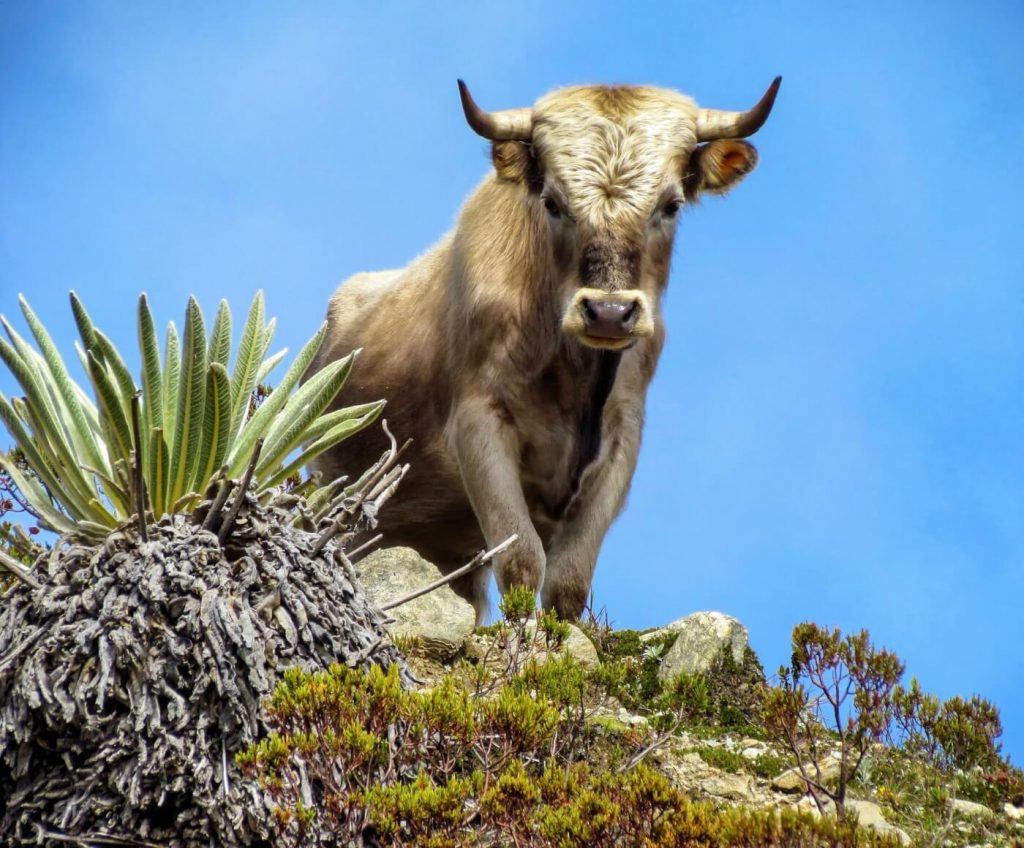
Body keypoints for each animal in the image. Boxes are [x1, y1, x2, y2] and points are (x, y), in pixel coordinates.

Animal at [307, 79, 778, 622]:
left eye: (672, 204)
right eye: (552, 202)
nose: (609, 312)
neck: (573, 378)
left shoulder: (623, 439)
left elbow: (569, 582)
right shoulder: (478, 423)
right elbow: (521, 562)